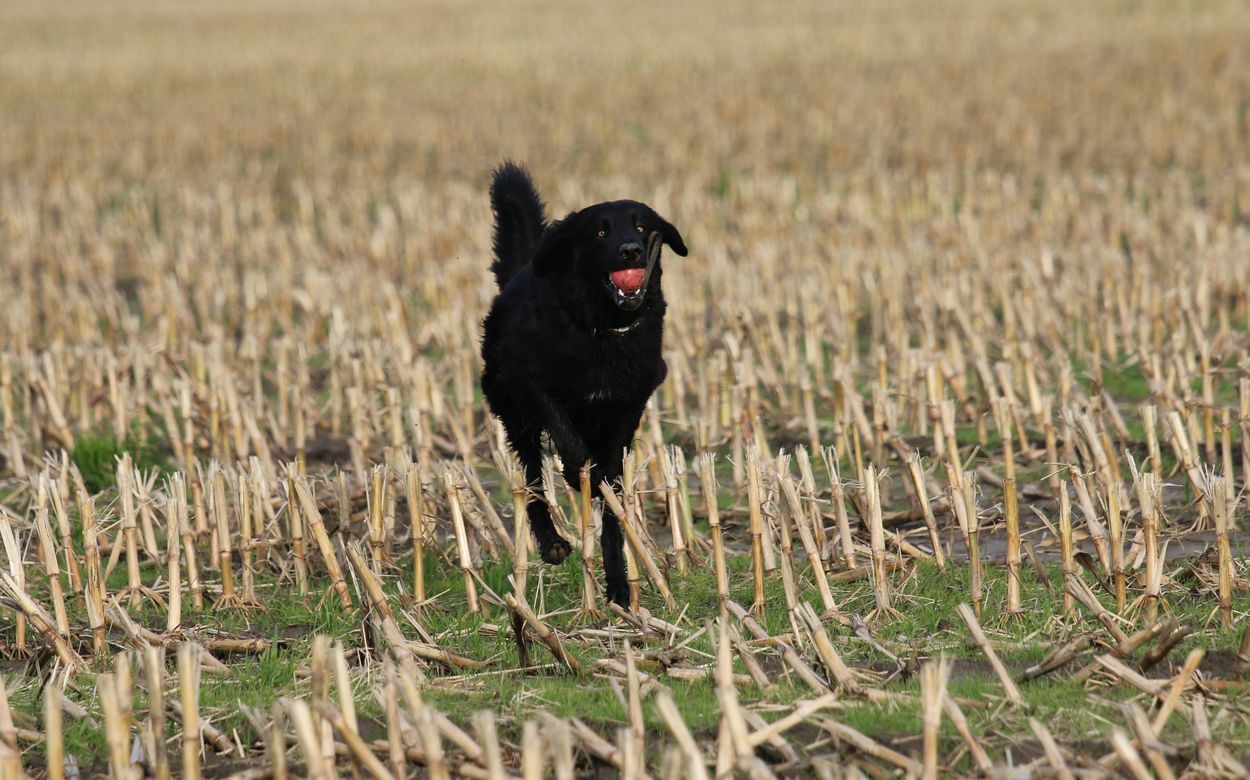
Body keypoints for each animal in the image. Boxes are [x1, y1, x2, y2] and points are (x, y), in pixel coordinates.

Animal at [481, 162, 687, 606]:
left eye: (642, 227)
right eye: (600, 232)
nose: (631, 251)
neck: (605, 327)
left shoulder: (627, 407)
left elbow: (612, 501)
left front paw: (618, 585)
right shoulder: (527, 376)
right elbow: (566, 438)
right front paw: (578, 473)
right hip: (514, 414)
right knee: (532, 478)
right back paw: (551, 541)